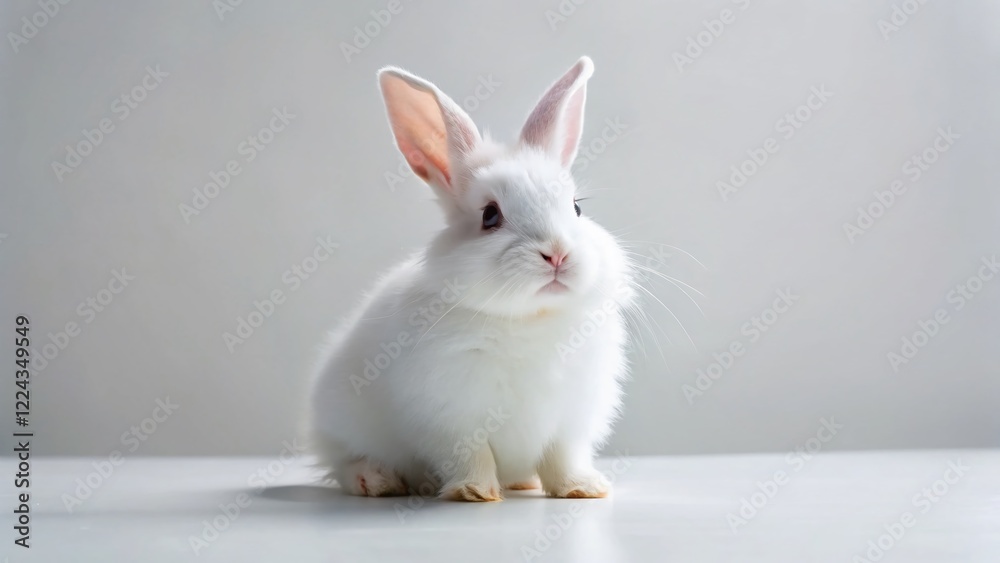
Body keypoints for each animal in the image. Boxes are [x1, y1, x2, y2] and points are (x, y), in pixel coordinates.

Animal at [309, 56, 635, 502]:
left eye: (576, 208)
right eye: (490, 215)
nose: (557, 253)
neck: (529, 319)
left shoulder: (569, 420)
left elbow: (563, 458)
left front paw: (582, 489)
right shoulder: (450, 416)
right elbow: (470, 455)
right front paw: (475, 492)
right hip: (342, 425)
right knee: (345, 463)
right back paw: (378, 481)